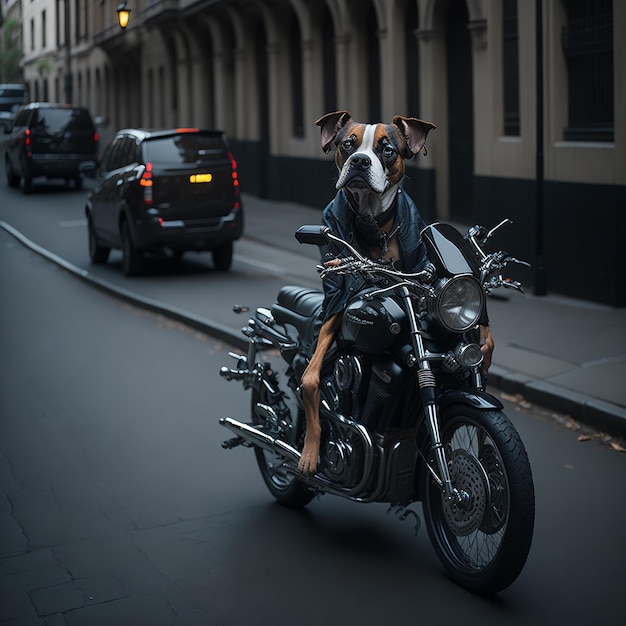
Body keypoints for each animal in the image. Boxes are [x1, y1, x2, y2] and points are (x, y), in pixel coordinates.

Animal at [294, 112, 436, 472]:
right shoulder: (339, 301)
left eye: (387, 149)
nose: (359, 161)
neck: (375, 224)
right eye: (348, 144)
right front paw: (311, 452)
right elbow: (310, 380)